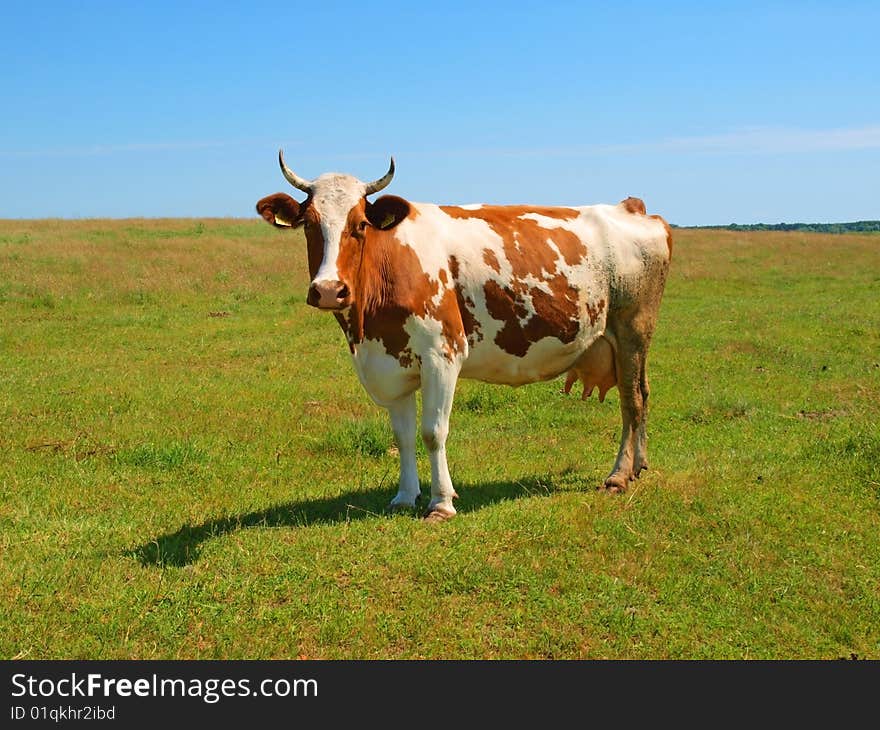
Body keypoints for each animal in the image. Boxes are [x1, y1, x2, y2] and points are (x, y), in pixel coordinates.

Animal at [258, 151, 672, 520]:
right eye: (309, 224)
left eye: (360, 224)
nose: (329, 290)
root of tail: (630, 208)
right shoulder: (392, 362)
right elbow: (403, 435)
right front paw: (404, 497)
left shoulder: (443, 354)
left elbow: (433, 432)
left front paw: (441, 503)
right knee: (644, 393)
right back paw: (639, 465)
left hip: (633, 329)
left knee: (632, 401)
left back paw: (619, 475)